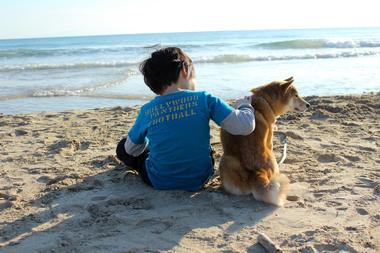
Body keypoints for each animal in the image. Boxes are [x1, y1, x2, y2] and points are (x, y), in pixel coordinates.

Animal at [220, 76, 308, 206]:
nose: (309, 105)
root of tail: (256, 172)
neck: (265, 100)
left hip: (226, 161)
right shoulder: (269, 140)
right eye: (296, 95)